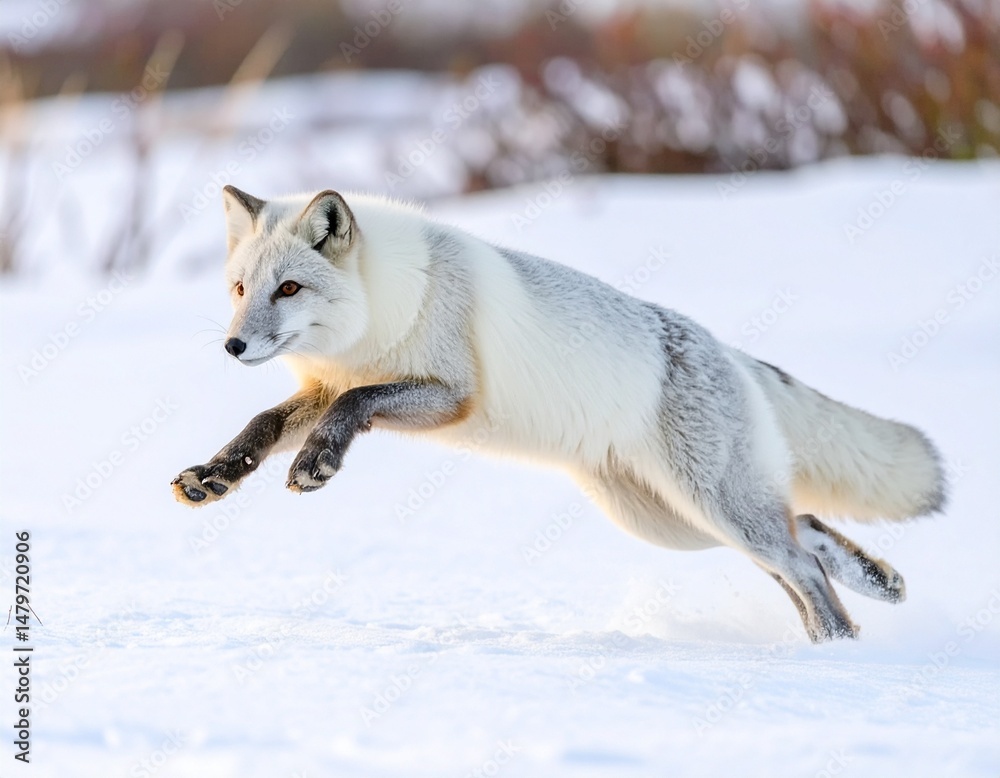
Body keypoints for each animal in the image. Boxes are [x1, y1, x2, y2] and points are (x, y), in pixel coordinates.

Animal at [172, 185, 946, 643]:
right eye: (239, 288)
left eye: (290, 288)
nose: (234, 344)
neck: (387, 312)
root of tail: (721, 346)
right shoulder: (324, 388)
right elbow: (264, 424)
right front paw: (216, 474)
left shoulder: (447, 396)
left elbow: (354, 407)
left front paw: (317, 462)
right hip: (669, 522)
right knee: (806, 528)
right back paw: (877, 588)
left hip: (708, 509)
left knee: (800, 557)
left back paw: (838, 649)